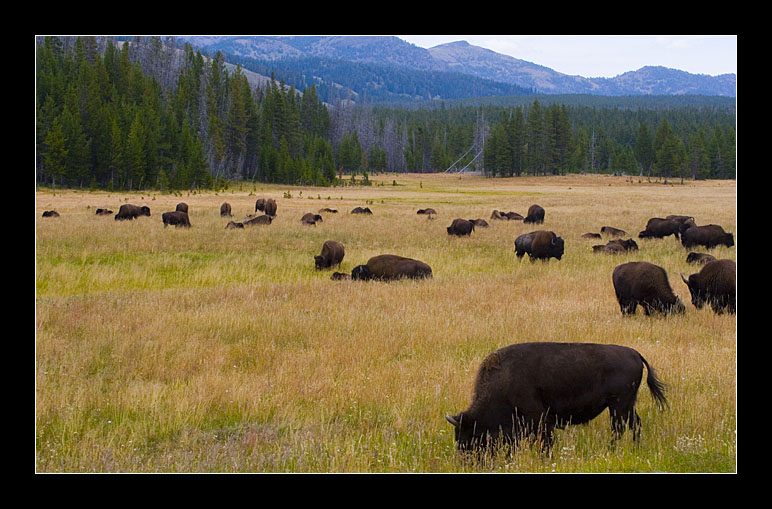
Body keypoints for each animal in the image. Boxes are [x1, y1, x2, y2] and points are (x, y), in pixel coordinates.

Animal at [446, 342, 668, 452]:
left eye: (471, 437)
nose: (467, 461)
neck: (504, 380)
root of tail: (635, 354)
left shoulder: (540, 420)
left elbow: (545, 441)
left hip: (618, 406)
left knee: (618, 428)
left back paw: (612, 450)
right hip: (626, 406)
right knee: (634, 424)